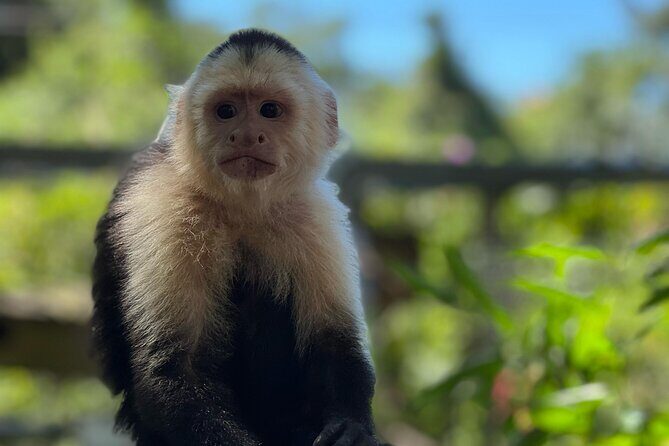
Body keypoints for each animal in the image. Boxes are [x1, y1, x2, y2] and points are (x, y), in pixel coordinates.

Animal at [91, 29, 380, 446]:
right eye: (225, 111)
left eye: (269, 110)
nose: (245, 135)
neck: (241, 207)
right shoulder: (167, 209)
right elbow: (175, 370)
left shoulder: (313, 213)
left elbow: (335, 341)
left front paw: (352, 427)